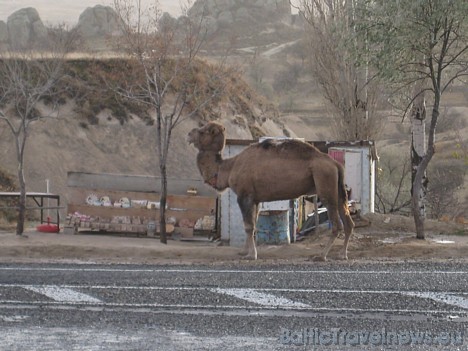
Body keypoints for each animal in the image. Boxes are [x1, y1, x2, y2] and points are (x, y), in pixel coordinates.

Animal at [187, 122, 354, 260]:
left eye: (202, 131)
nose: (189, 134)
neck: (229, 168)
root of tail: (336, 164)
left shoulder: (244, 196)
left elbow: (248, 226)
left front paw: (251, 255)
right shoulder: (256, 199)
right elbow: (253, 225)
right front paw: (244, 252)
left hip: (325, 183)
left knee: (336, 224)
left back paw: (322, 255)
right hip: (338, 190)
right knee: (348, 222)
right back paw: (342, 254)